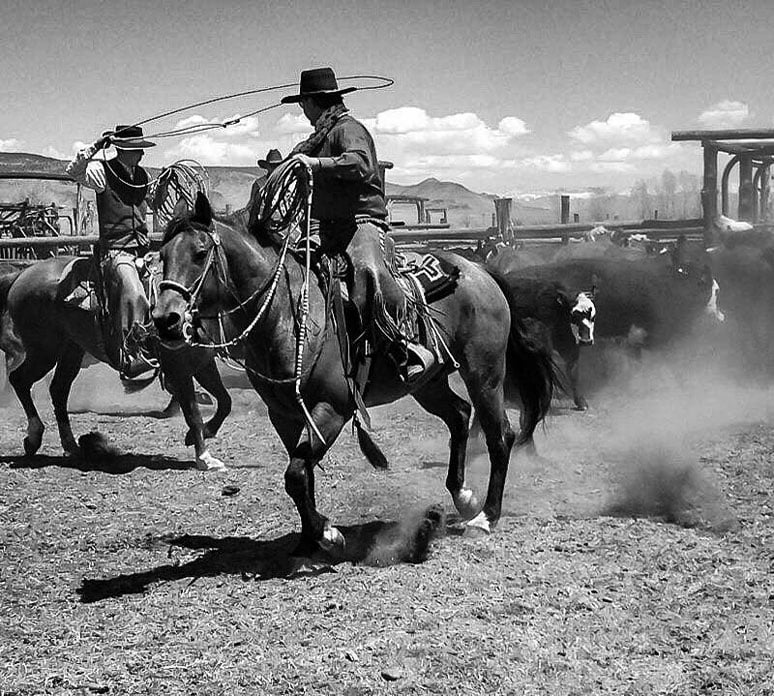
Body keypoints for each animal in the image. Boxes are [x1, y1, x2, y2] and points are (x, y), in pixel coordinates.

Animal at [0, 253, 232, 470]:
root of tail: (22, 274)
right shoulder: (179, 368)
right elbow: (193, 414)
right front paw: (204, 457)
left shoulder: (203, 364)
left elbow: (224, 401)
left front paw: (201, 434)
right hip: (44, 350)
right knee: (19, 379)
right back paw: (34, 436)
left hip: (70, 350)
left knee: (58, 390)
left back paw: (71, 446)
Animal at [152, 193, 560, 556]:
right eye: (162, 255)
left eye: (200, 252)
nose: (165, 320)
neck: (288, 314)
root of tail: (480, 271)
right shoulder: (283, 415)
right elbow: (300, 474)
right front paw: (311, 536)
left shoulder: (332, 409)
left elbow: (296, 473)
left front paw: (328, 535)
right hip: (428, 382)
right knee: (459, 415)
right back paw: (462, 497)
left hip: (484, 372)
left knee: (499, 435)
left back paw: (487, 517)